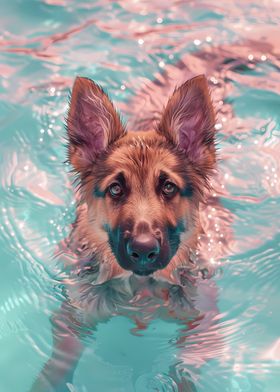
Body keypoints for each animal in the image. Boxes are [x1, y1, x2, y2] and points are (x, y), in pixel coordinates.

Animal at [31, 74, 219, 392]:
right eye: (116, 189)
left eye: (168, 187)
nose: (143, 249)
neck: (141, 292)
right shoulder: (73, 316)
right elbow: (57, 366)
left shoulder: (201, 324)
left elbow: (185, 366)